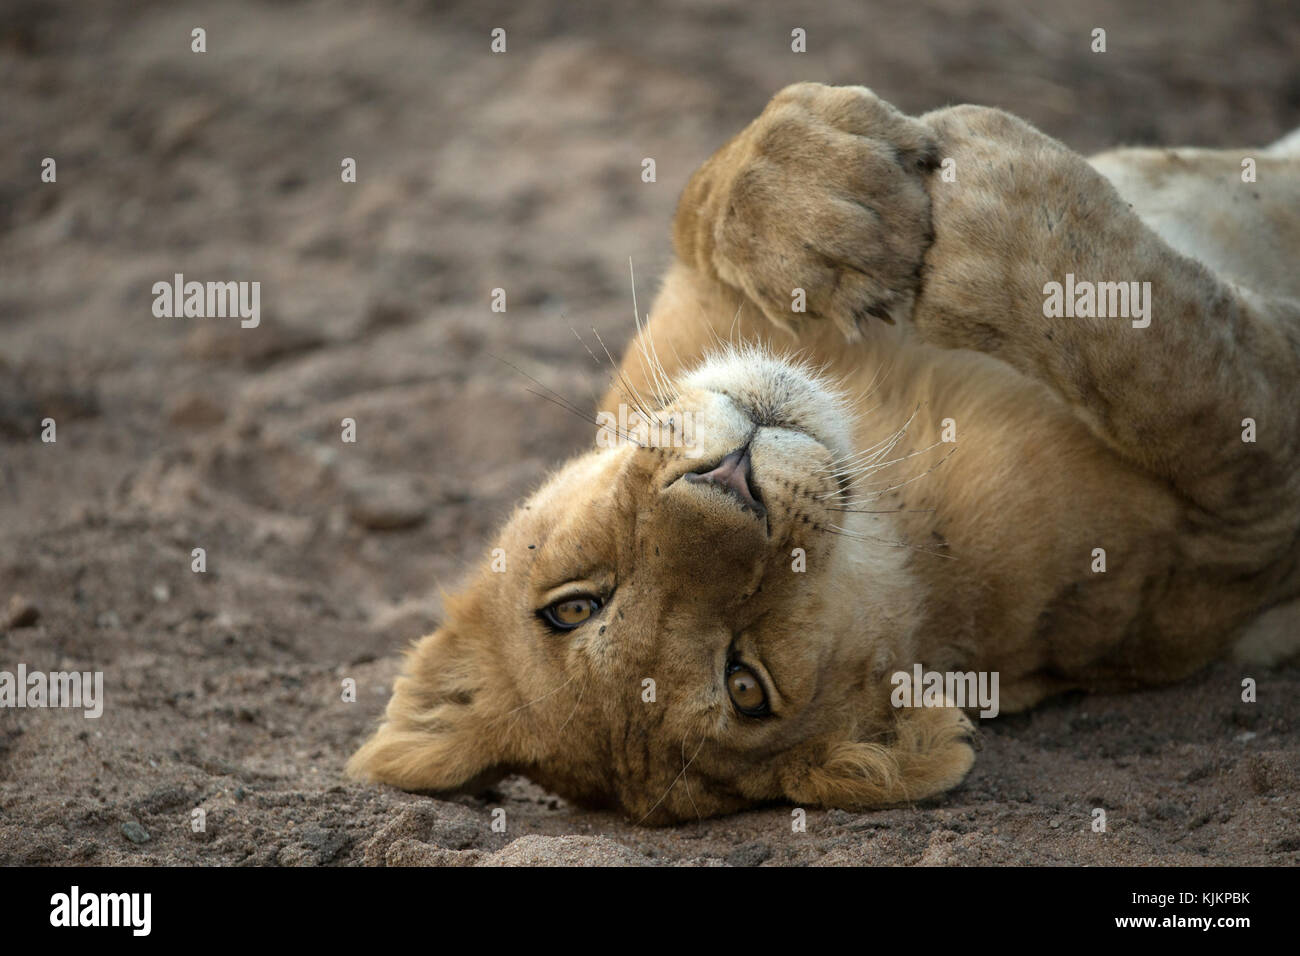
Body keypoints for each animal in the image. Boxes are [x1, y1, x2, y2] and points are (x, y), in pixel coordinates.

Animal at [345, 85, 1300, 827]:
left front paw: (824, 184)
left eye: (572, 605)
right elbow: (1203, 390)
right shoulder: (1207, 557)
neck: (883, 445)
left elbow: (712, 192)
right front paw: (995, 204)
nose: (730, 480)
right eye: (745, 684)